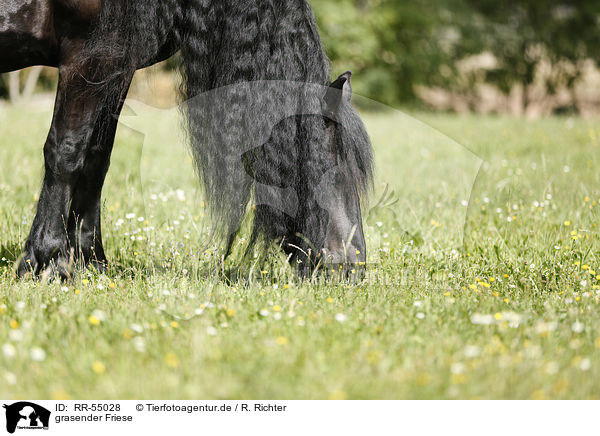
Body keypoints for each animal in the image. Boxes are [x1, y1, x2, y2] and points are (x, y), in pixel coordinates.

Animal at [0, 0, 372, 278]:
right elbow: (67, 151)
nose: (354, 266)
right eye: (330, 168)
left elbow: (96, 161)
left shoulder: (116, 65)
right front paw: (44, 260)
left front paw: (90, 262)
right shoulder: (85, 58)